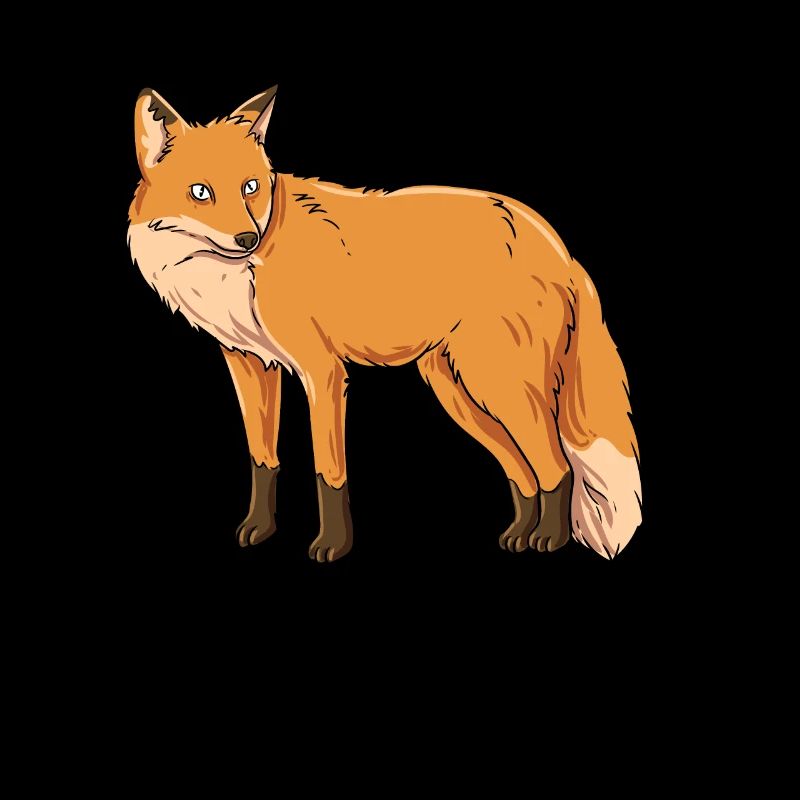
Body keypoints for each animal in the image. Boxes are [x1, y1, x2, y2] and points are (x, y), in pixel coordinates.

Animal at [128, 86, 642, 562]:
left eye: (251, 187)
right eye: (201, 192)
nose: (248, 238)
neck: (235, 277)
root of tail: (559, 245)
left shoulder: (322, 371)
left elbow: (328, 471)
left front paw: (333, 545)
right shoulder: (249, 364)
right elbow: (263, 459)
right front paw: (260, 529)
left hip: (499, 385)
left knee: (557, 468)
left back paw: (548, 539)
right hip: (456, 390)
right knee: (524, 472)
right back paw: (519, 534)